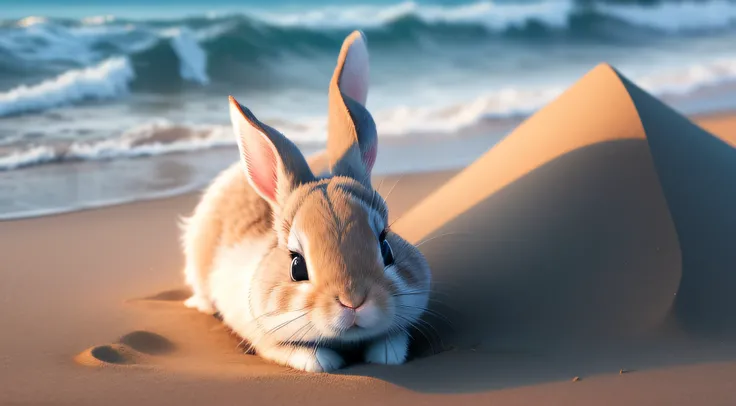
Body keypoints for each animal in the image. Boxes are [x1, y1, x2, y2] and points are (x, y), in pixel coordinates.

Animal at [180, 30, 432, 372]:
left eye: (386, 247)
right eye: (296, 266)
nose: (354, 300)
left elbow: (393, 339)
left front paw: (384, 354)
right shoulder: (263, 338)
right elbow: (299, 354)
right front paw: (325, 360)